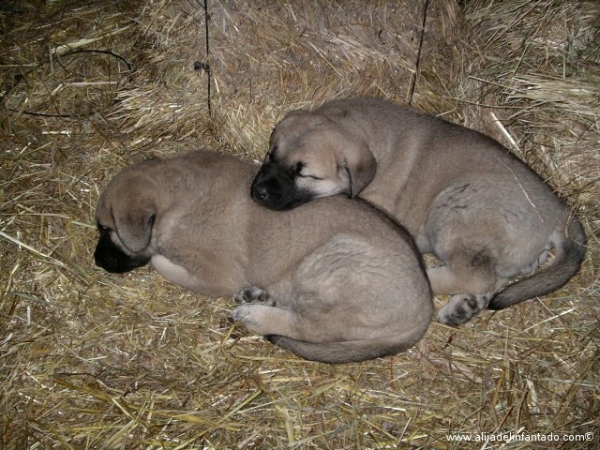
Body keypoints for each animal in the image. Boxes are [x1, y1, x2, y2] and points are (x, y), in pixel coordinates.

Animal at [92, 149, 432, 364]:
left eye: (107, 229)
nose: (97, 261)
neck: (177, 194)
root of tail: (423, 314)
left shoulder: (219, 275)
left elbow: (161, 262)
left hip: (328, 263)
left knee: (309, 327)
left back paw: (254, 315)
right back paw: (258, 297)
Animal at [251, 96, 584, 326]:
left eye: (303, 174)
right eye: (270, 154)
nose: (258, 192)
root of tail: (559, 211)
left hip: (455, 205)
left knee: (473, 274)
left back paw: (431, 282)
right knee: (492, 279)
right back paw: (463, 308)